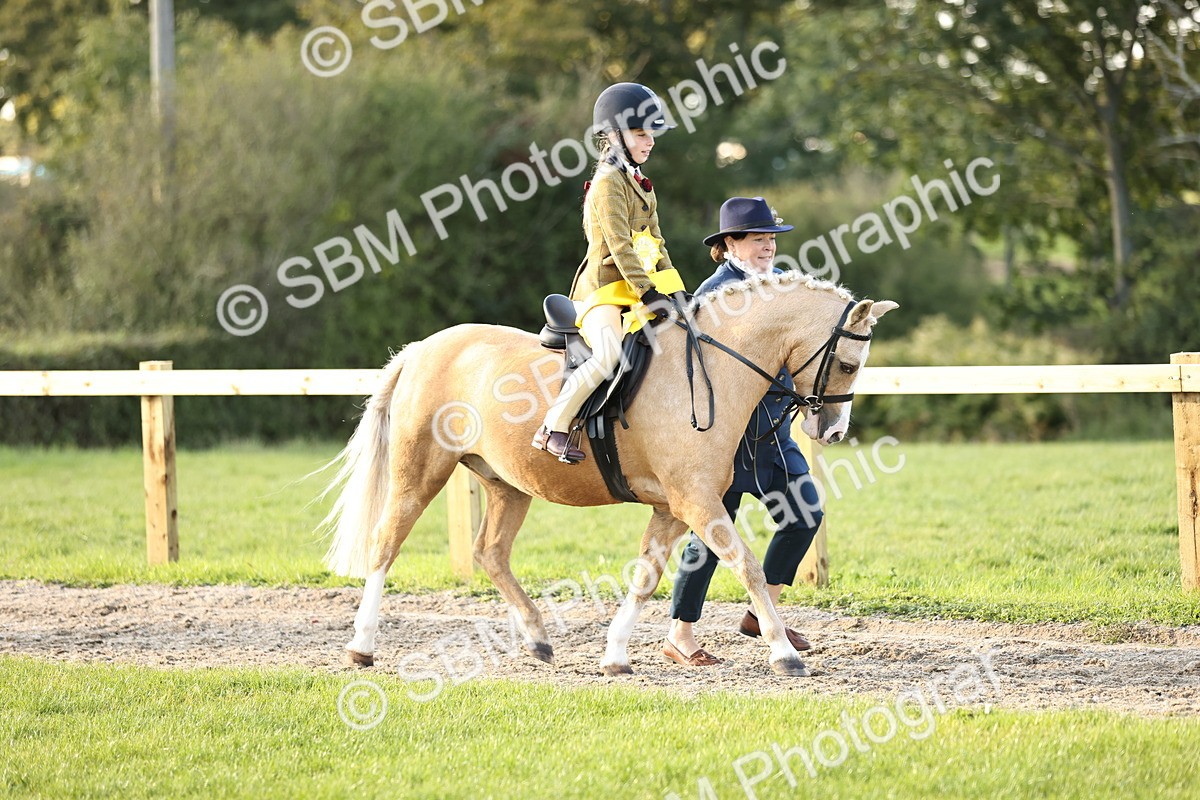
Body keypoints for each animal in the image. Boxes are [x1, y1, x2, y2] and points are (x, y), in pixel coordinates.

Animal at [317, 271, 897, 677]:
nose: (832, 431)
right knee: (386, 545)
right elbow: (749, 567)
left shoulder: (673, 508)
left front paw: (615, 655)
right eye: (848, 364)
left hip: (507, 484)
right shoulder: (697, 502)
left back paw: (537, 639)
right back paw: (361, 647)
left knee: (491, 553)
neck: (711, 369)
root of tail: (424, 348)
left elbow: (646, 577)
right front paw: (783, 653)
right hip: (420, 472)